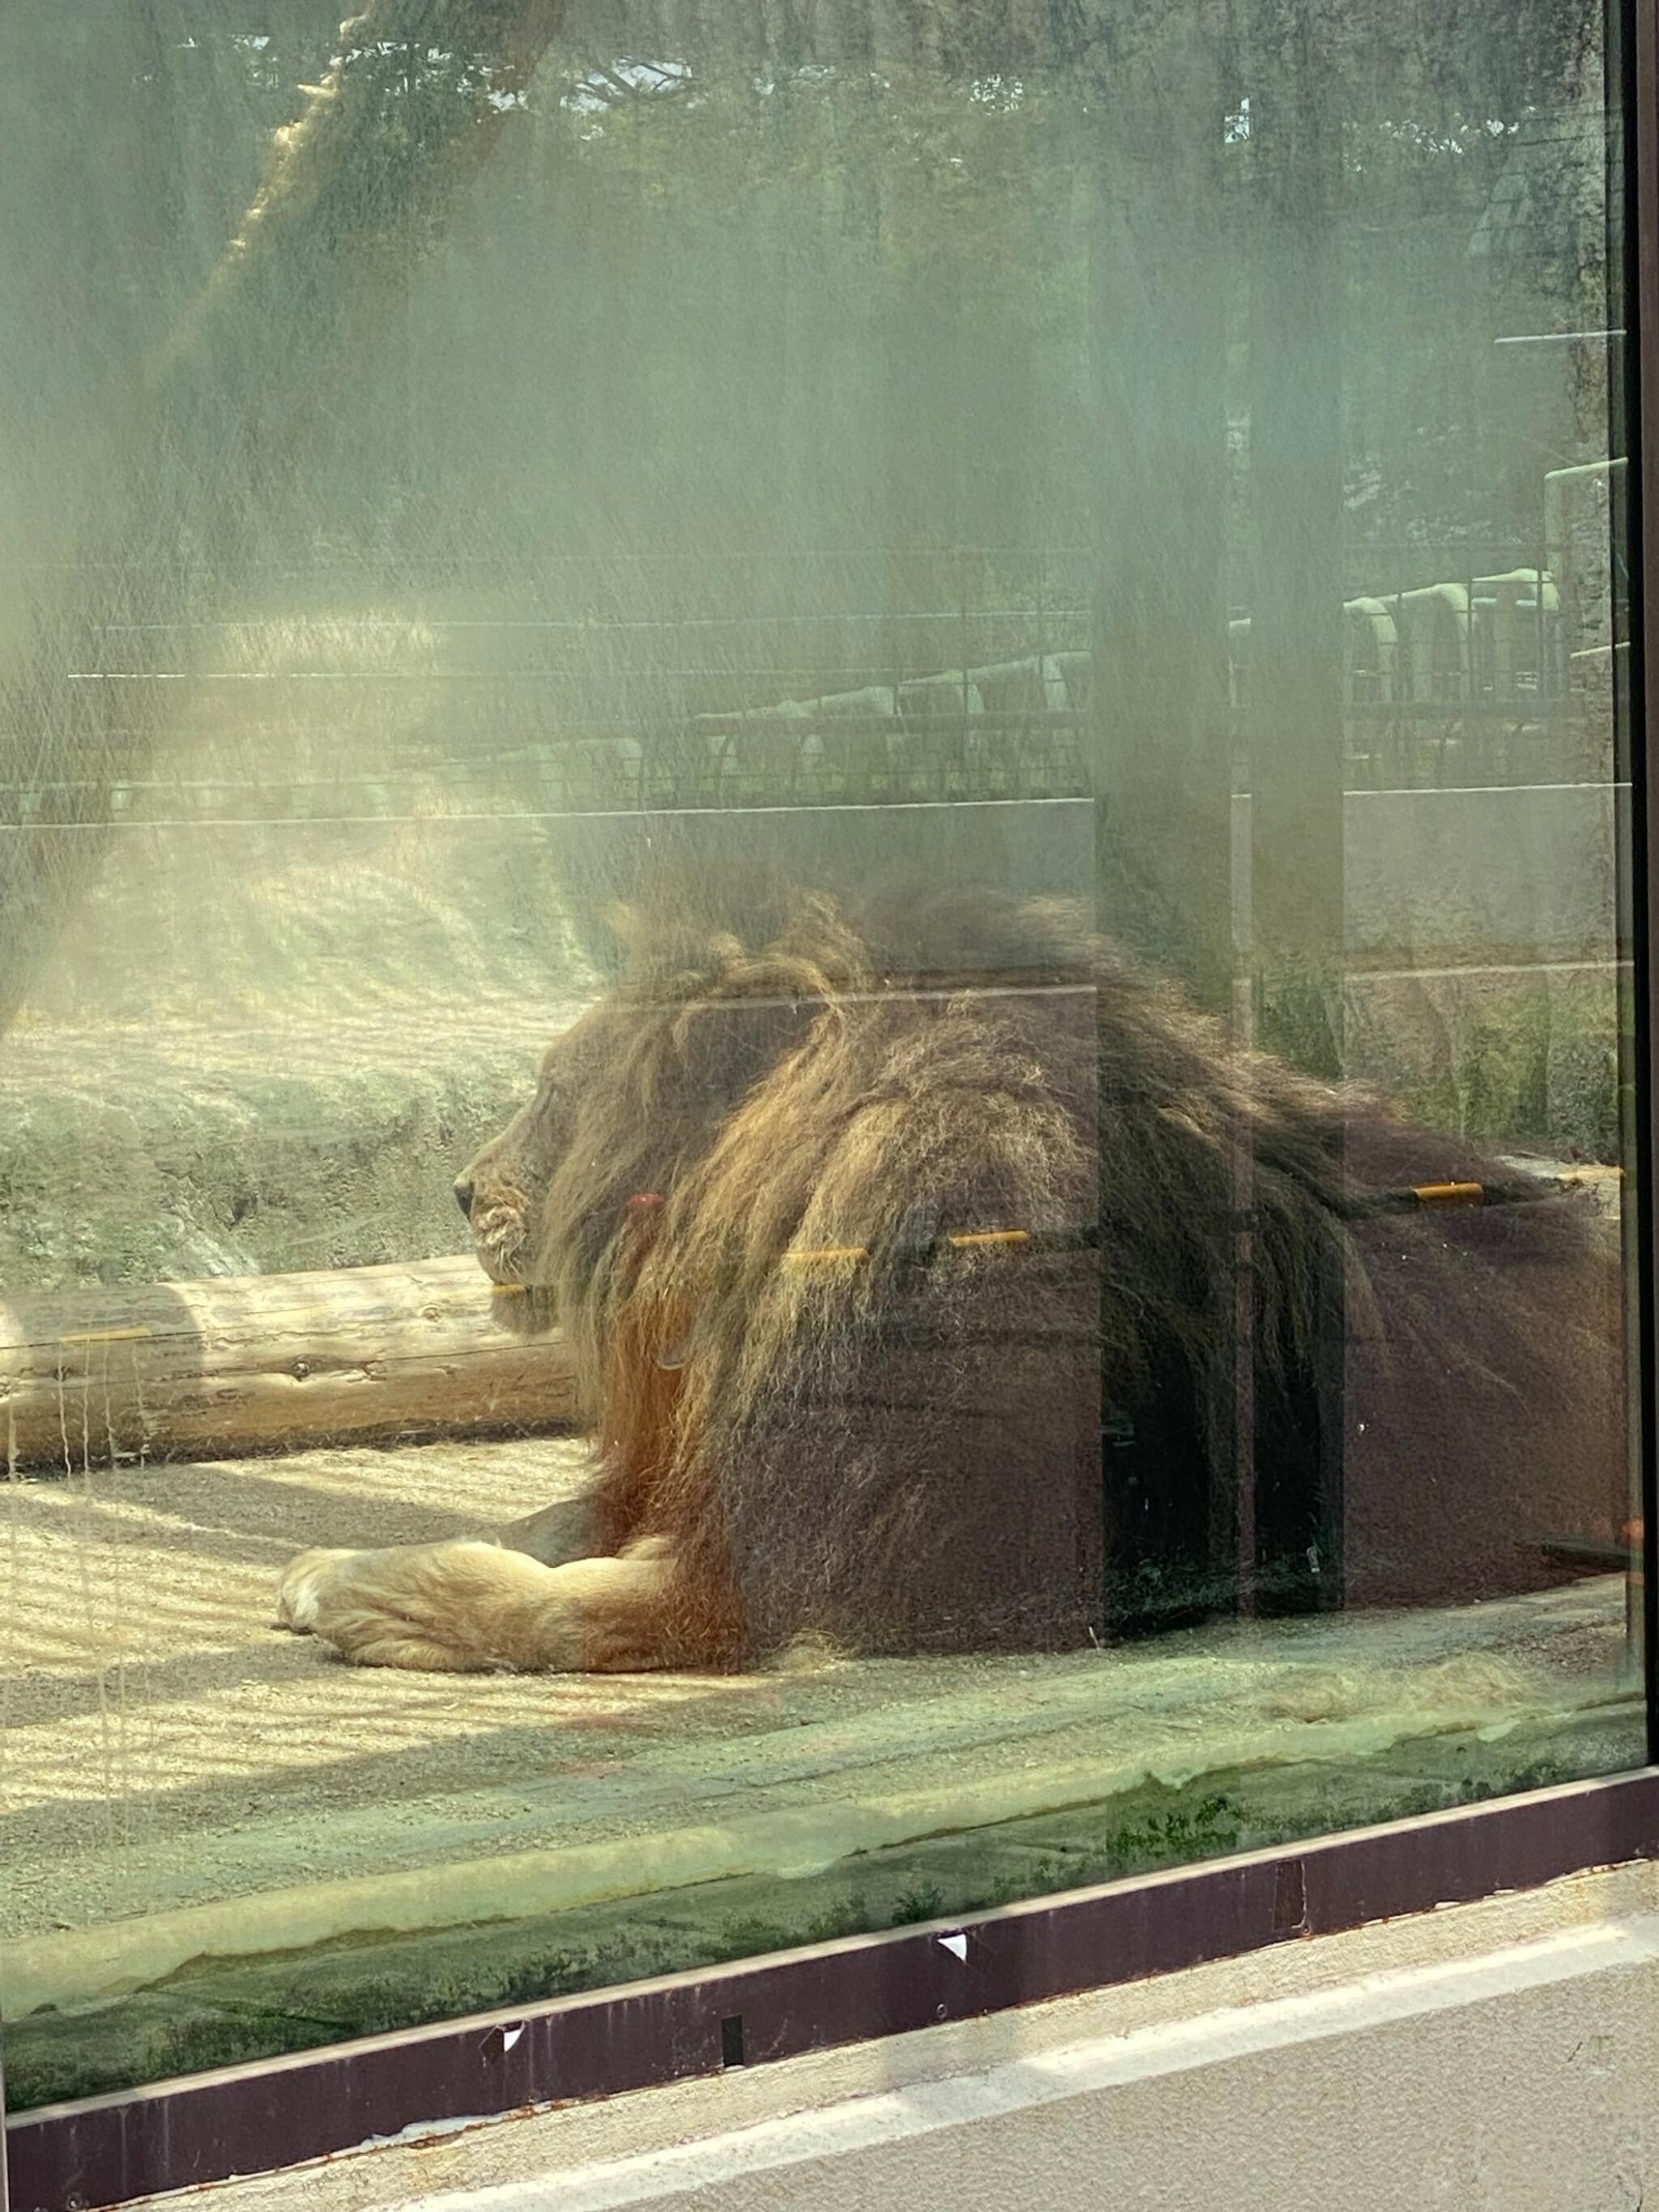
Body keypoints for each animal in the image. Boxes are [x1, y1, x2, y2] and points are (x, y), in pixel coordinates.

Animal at [279, 880, 1627, 1672]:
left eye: (554, 1091)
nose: (462, 1189)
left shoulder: (801, 1568)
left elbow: (543, 1600)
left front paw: (362, 1588)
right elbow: (548, 1522)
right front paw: (318, 1561)